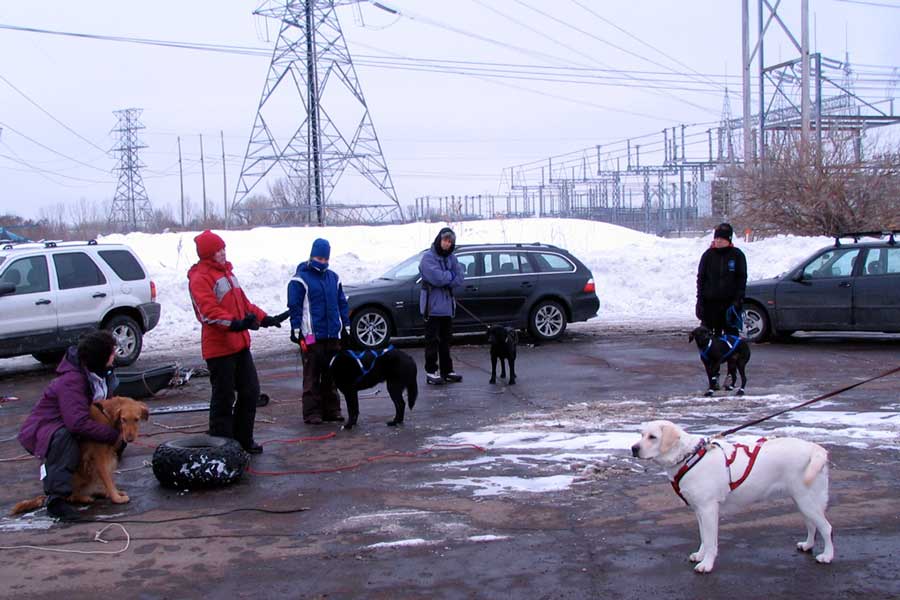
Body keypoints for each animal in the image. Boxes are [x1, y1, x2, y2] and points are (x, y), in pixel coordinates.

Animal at [628, 420, 832, 576]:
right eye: (641, 434)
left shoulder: (709, 509)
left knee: (826, 528)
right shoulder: (699, 510)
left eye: (652, 437)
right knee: (812, 525)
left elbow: (711, 541)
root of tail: (815, 448)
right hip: (802, 501)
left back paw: (827, 556)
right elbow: (704, 537)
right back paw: (807, 545)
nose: (633, 448)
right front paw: (700, 555)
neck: (688, 456)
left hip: (808, 501)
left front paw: (706, 564)